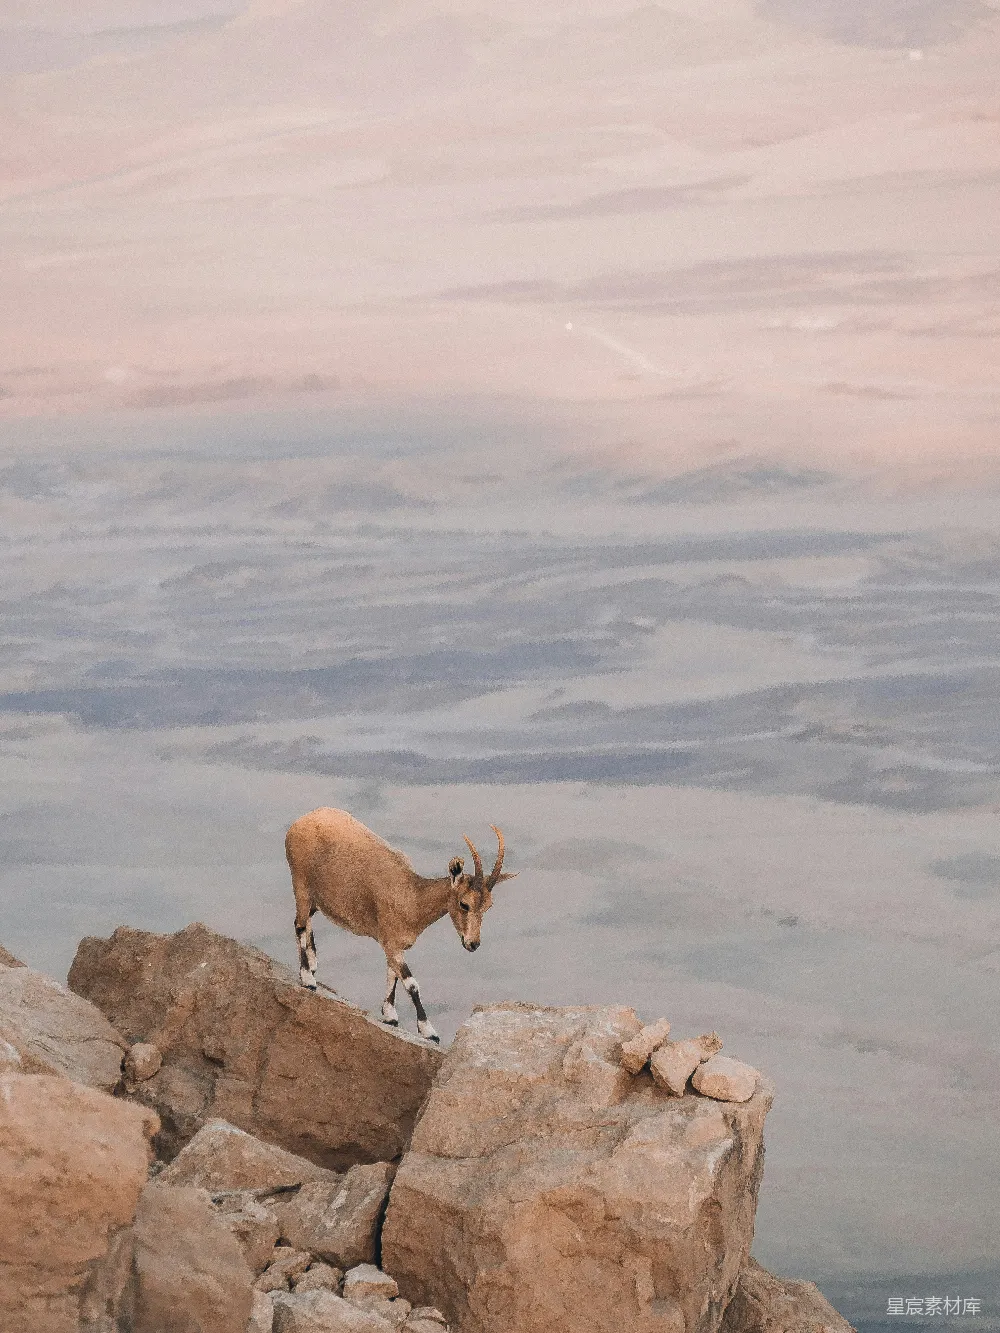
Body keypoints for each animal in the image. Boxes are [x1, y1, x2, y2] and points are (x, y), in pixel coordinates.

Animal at [284, 807, 515, 1042]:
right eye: (464, 903)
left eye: (488, 906)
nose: (473, 944)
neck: (412, 898)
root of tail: (303, 820)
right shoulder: (391, 943)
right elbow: (411, 983)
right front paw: (428, 1030)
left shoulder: (395, 945)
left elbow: (392, 973)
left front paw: (390, 1015)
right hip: (301, 883)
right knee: (299, 924)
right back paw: (307, 977)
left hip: (316, 897)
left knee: (305, 920)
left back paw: (313, 963)